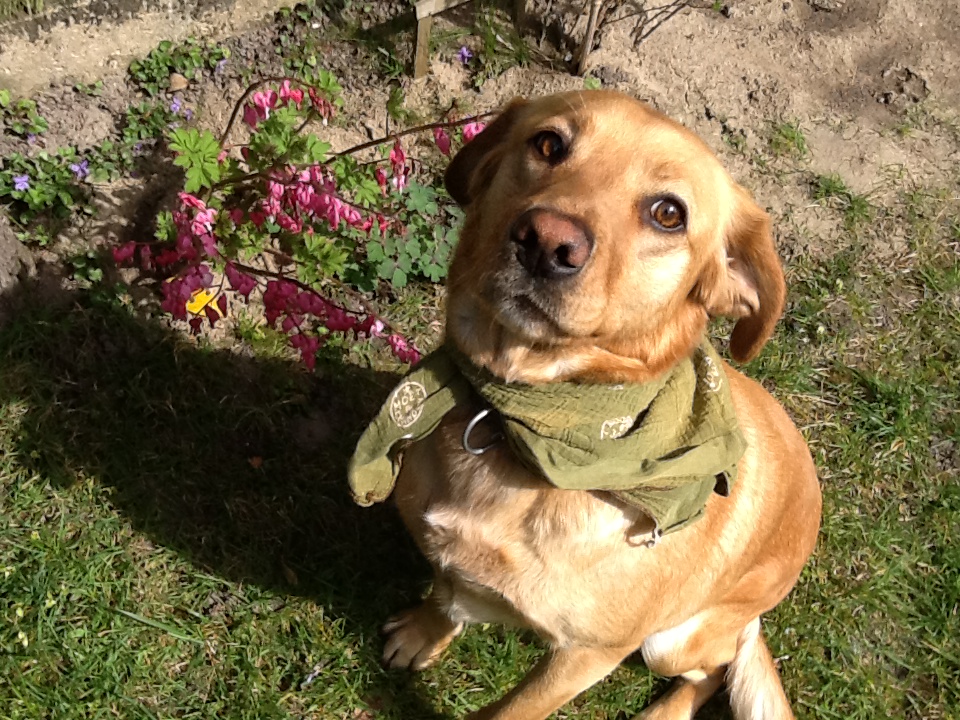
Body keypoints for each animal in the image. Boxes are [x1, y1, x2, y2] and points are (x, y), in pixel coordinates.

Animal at [353, 90, 822, 720]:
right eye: (549, 143)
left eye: (668, 213)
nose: (546, 241)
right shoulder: (454, 568)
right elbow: (447, 594)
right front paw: (424, 633)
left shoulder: (585, 658)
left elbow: (512, 710)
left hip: (670, 642)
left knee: (713, 669)